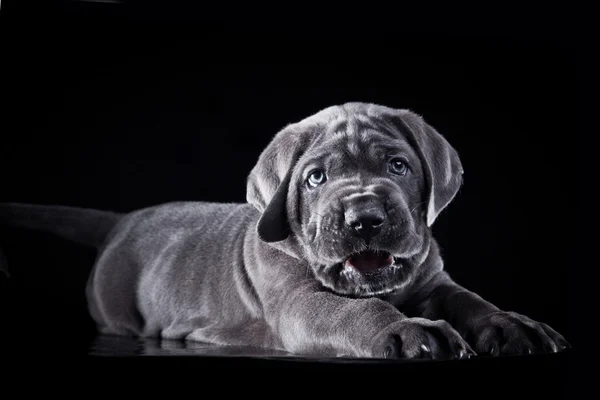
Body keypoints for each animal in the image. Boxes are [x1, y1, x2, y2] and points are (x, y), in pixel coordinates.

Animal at [0, 103, 568, 360]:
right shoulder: (298, 303)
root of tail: (121, 219)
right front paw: (412, 331)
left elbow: (471, 299)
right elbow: (356, 311)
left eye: (398, 166)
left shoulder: (435, 282)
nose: (364, 216)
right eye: (316, 178)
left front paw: (513, 324)